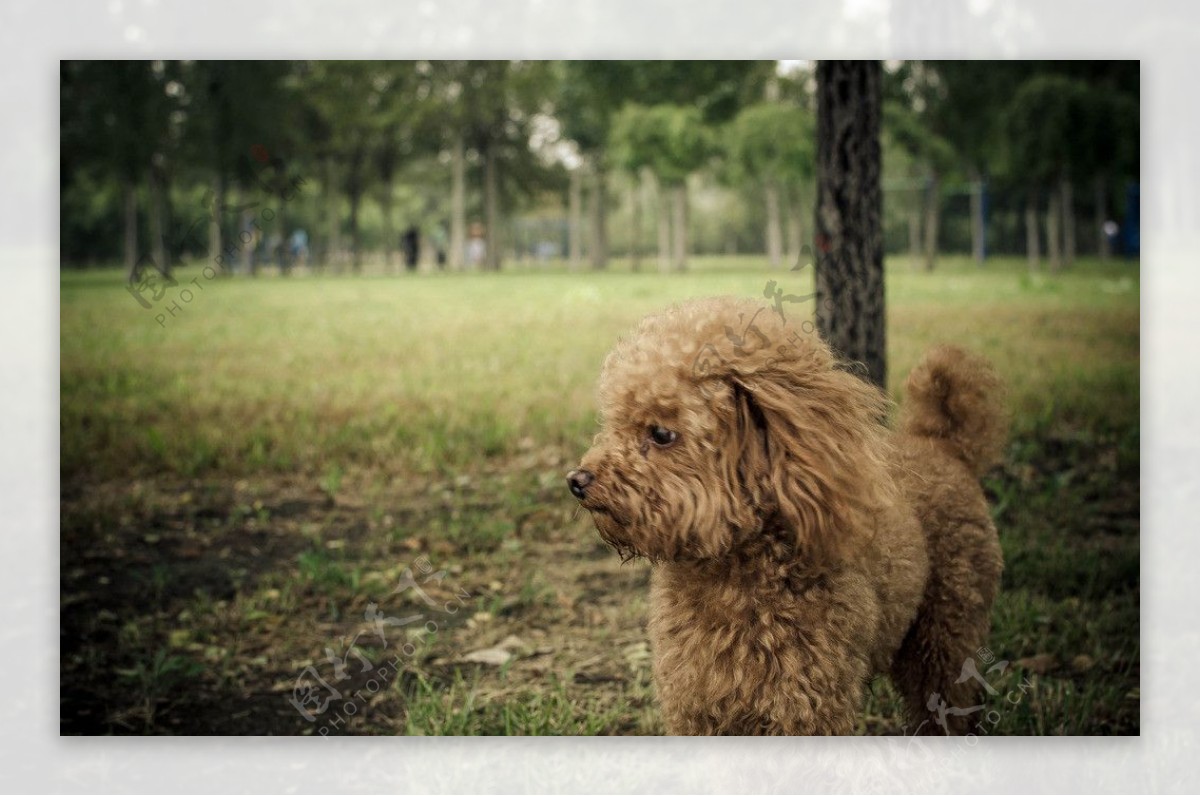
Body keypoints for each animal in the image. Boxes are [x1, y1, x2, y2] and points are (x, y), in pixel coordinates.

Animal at [566, 297, 1008, 734]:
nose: (577, 480)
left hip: (948, 629)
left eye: (661, 434)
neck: (733, 576)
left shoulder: (807, 708)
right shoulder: (695, 706)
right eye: (614, 423)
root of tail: (942, 445)